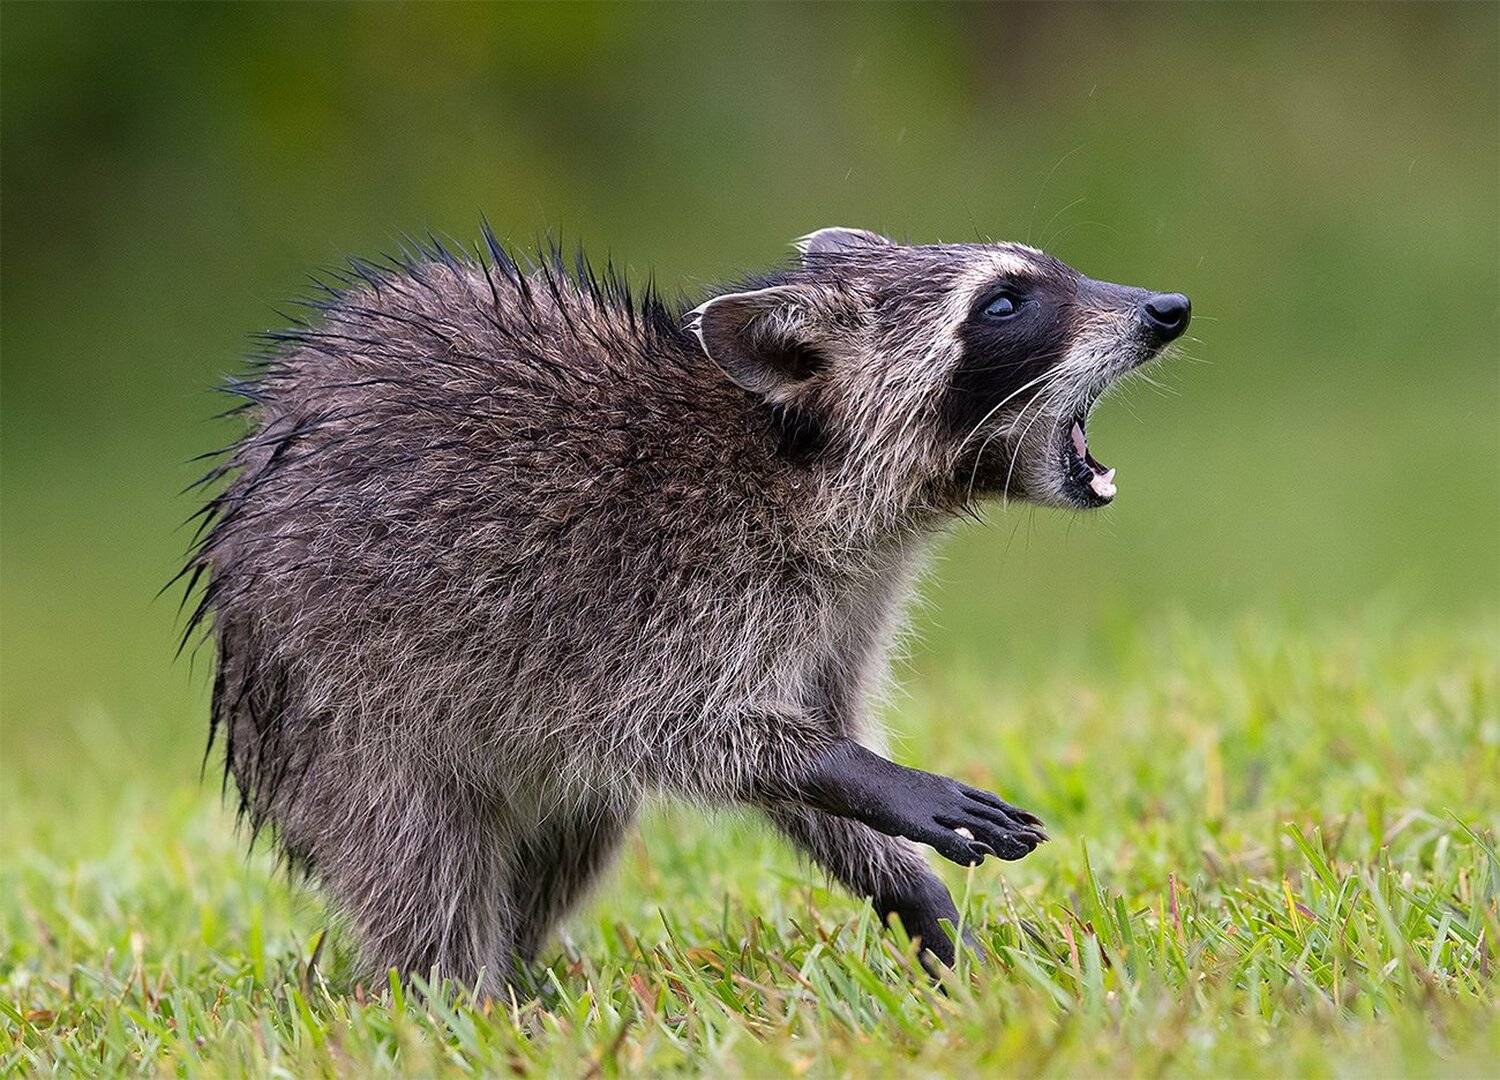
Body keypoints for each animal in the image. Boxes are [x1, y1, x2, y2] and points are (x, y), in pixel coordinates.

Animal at [183, 225, 1189, 990]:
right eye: (1005, 304)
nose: (1167, 309)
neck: (806, 466)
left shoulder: (845, 605)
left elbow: (795, 732)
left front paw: (908, 890)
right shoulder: (653, 588)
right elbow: (678, 727)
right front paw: (864, 776)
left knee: (570, 835)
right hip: (343, 713)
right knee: (422, 859)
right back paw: (454, 995)